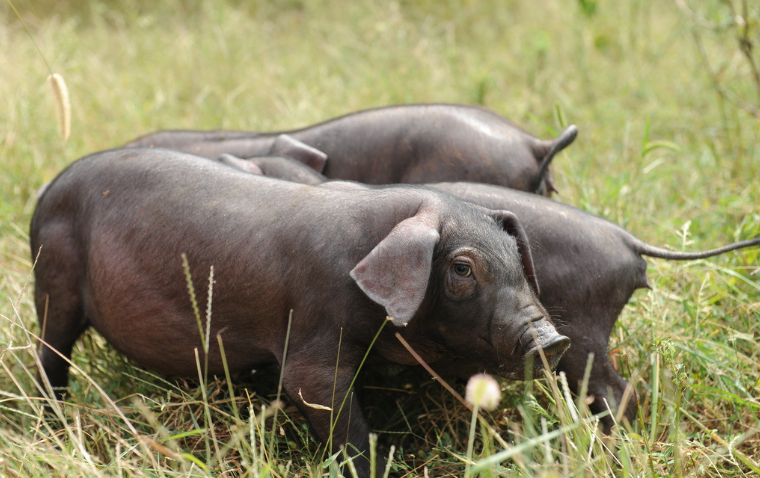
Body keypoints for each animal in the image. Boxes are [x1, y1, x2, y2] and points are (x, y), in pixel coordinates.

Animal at [32, 148, 568, 476]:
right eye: (462, 268)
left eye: (515, 256)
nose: (552, 339)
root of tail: (46, 192)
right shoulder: (312, 338)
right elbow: (325, 403)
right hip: (54, 279)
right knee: (50, 354)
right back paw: (53, 419)